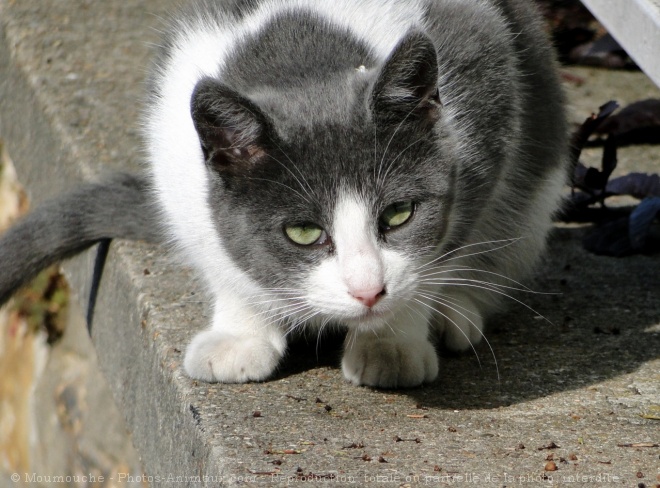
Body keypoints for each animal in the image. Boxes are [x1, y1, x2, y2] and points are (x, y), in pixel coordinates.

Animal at [0, 0, 568, 388]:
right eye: (303, 232)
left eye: (399, 214)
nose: (368, 291)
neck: (306, 54)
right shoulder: (171, 130)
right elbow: (222, 253)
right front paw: (241, 335)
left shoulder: (485, 88)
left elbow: (445, 245)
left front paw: (392, 342)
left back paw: (456, 311)